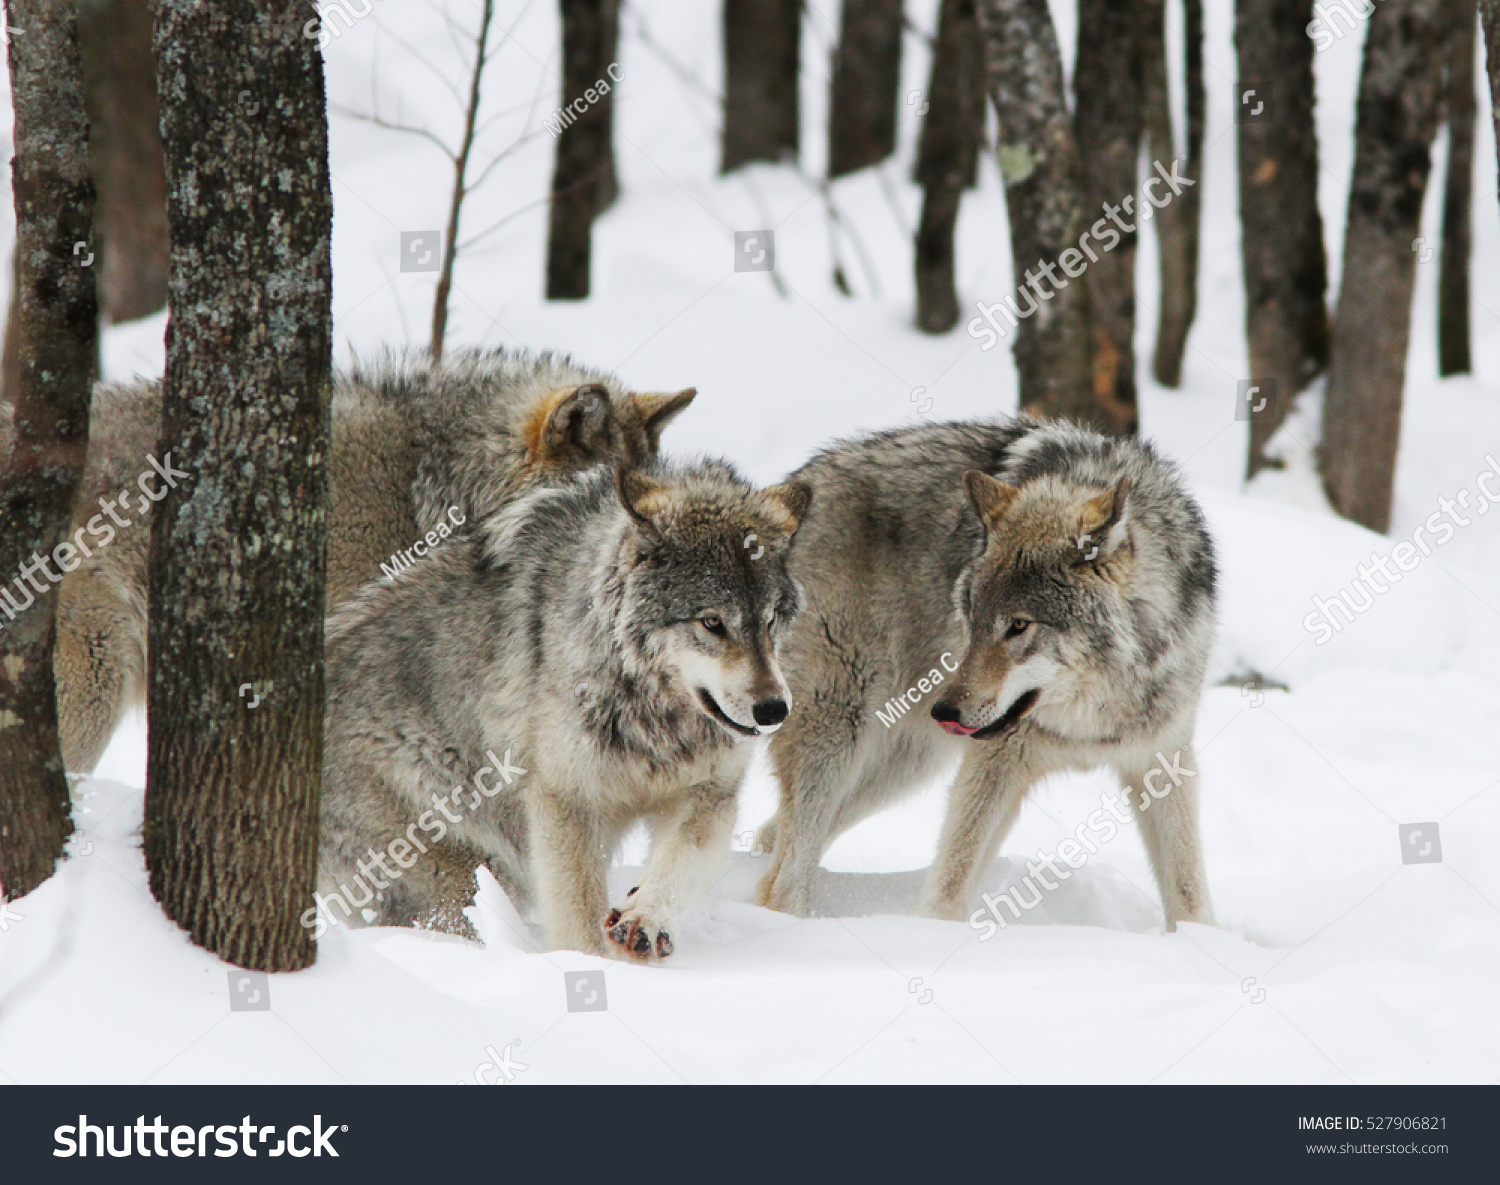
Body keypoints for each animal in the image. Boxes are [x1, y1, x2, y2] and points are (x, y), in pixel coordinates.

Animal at [313, 459, 810, 960]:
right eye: (712, 622)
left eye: (770, 620)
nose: (773, 710)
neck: (657, 718)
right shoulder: (567, 799)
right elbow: (578, 913)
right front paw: (587, 963)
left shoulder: (709, 795)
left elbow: (679, 865)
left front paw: (645, 919)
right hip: (455, 877)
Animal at [756, 423, 1212, 930]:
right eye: (970, 619)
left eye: (1018, 625)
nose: (945, 709)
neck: (1089, 717)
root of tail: (791, 489)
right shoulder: (995, 762)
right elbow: (949, 886)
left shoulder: (1161, 760)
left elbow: (1189, 894)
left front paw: (1197, 940)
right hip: (838, 735)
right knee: (784, 879)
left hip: (902, 765)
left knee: (774, 840)